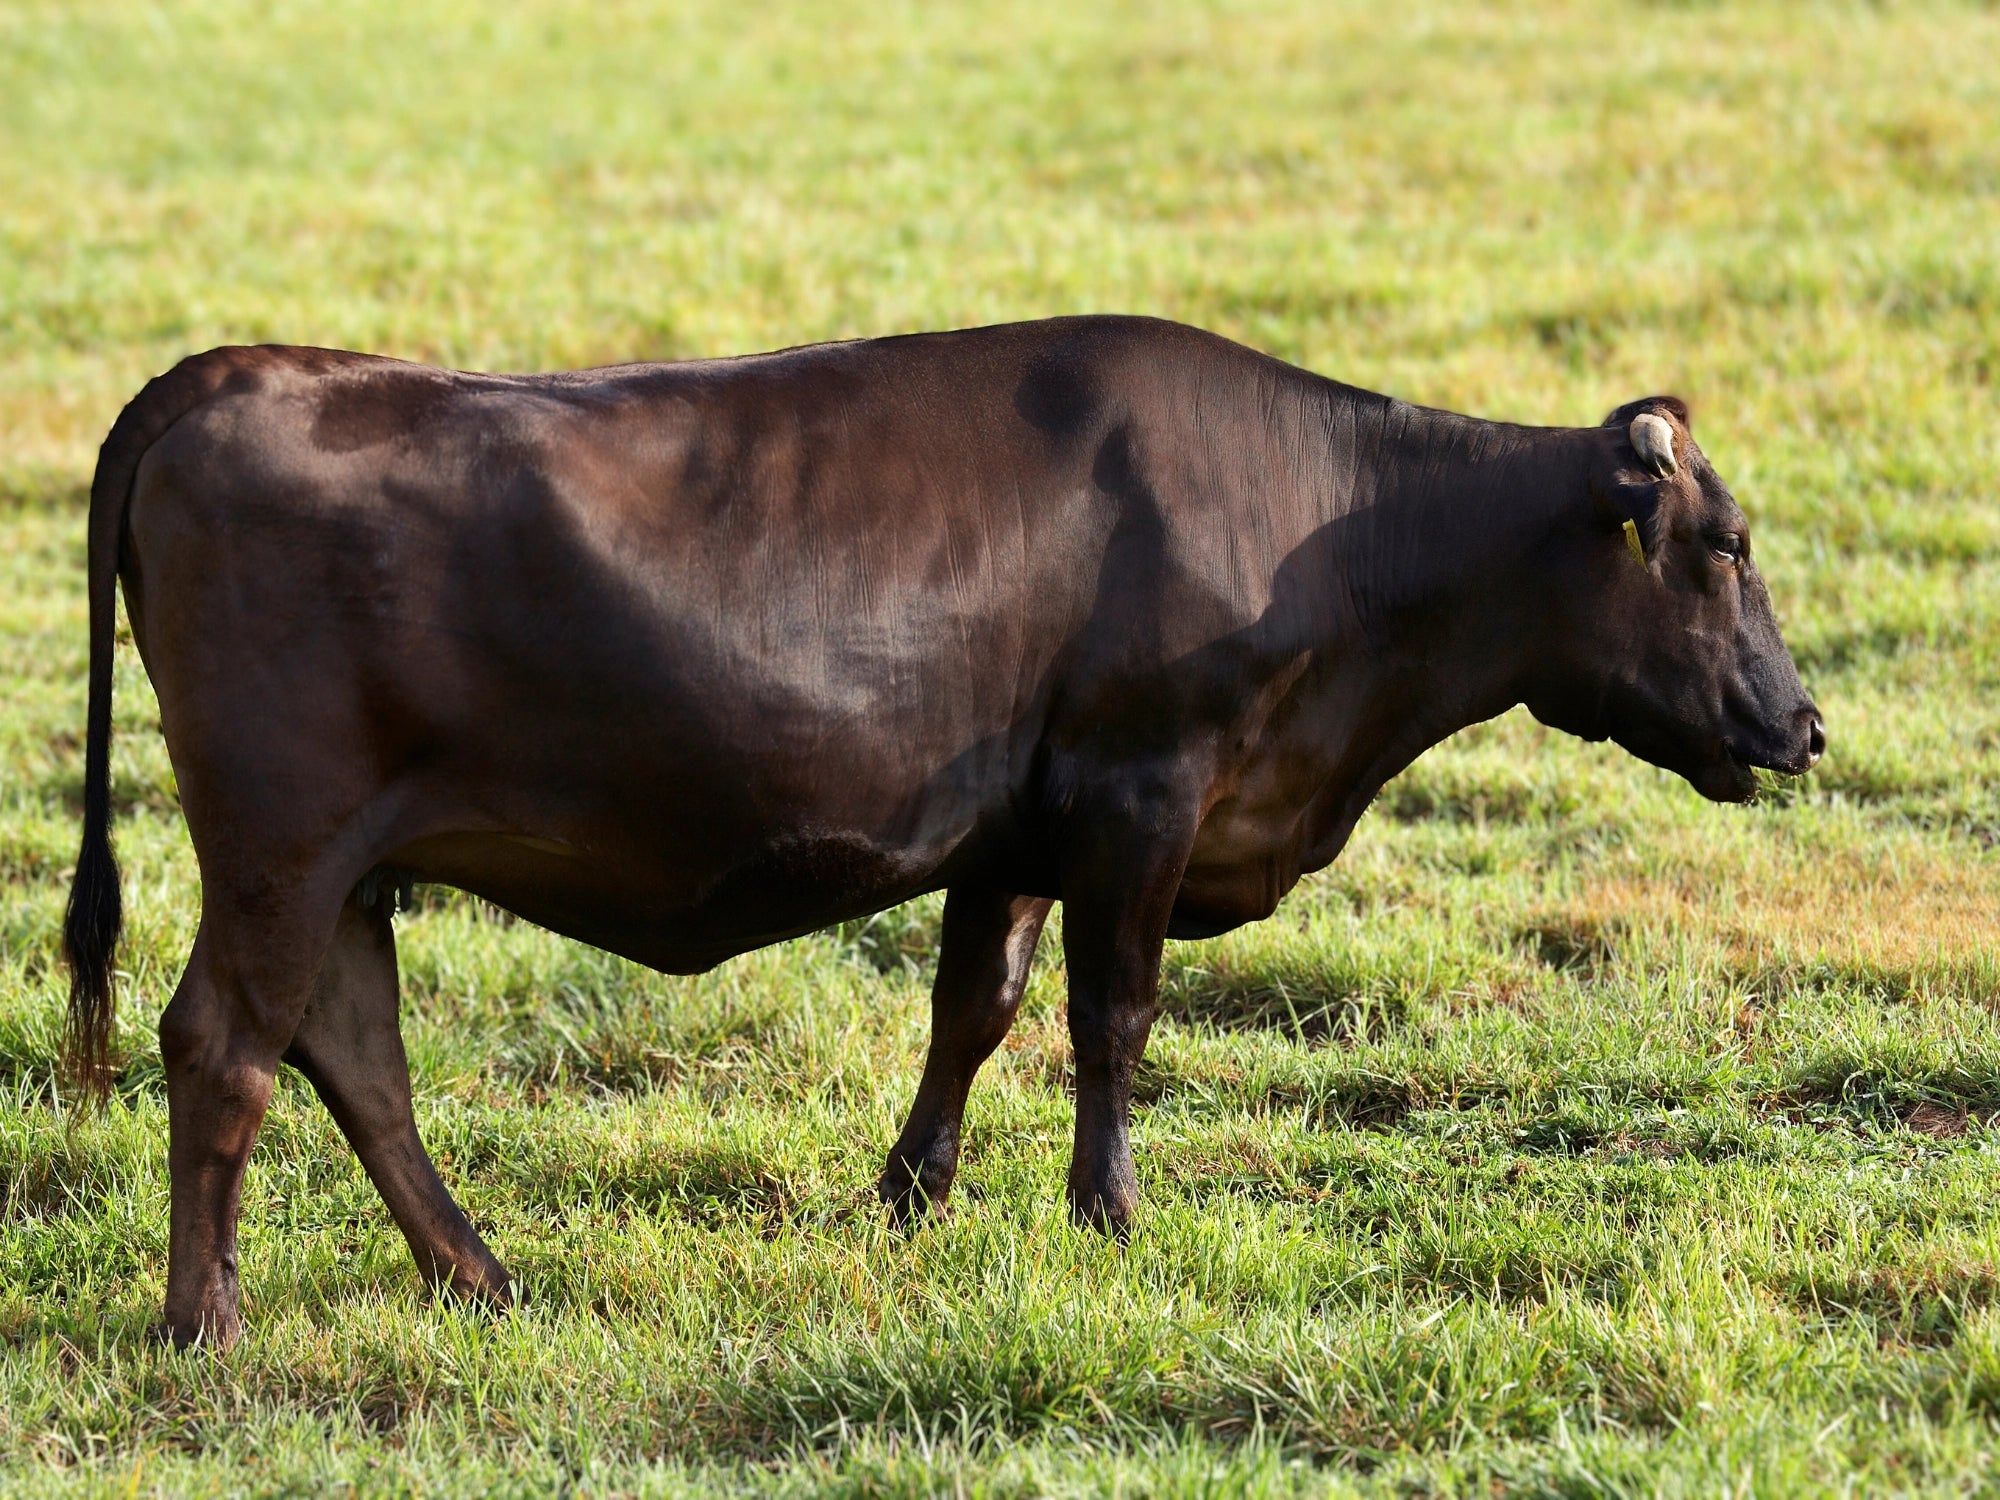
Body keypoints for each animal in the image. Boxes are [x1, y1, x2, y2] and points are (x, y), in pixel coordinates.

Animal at [62, 318, 1824, 1352]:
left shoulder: (1016, 833)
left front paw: (913, 1197)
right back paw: (205, 1323)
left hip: (351, 864)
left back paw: (480, 1277)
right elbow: (1113, 1016)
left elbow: (974, 1007)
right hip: (283, 842)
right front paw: (1109, 1213)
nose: (1804, 727)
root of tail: (236, 369)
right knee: (225, 1043)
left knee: (352, 1051)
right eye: (1727, 548)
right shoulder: (1144, 788)